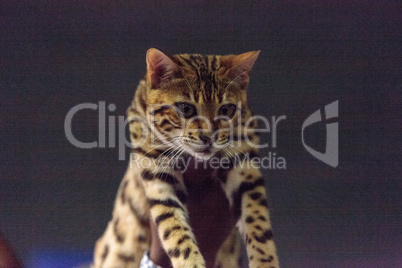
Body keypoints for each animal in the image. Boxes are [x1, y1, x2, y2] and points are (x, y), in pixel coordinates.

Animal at [93, 48, 280, 268]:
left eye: (226, 110)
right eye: (186, 108)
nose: (209, 137)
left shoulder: (244, 166)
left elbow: (258, 225)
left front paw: (265, 262)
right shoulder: (157, 172)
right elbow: (175, 230)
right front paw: (191, 263)